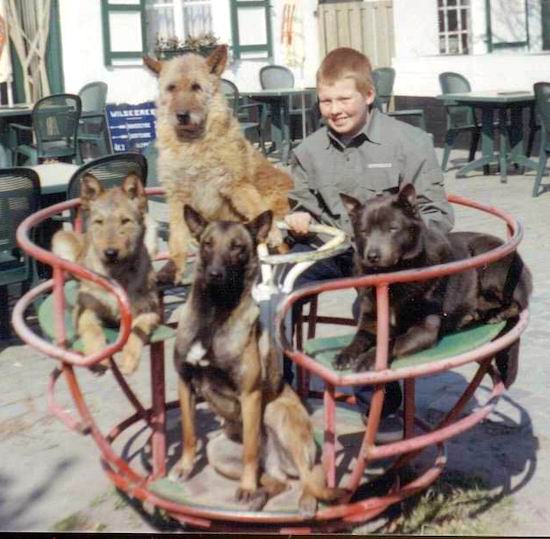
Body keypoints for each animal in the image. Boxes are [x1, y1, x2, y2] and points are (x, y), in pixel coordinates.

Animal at [52, 174, 161, 376]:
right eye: (99, 222)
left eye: (125, 221)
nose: (110, 253)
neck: (116, 275)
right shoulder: (85, 309)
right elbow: (92, 330)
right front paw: (99, 358)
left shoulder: (151, 312)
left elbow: (136, 331)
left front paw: (128, 360)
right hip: (61, 238)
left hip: (152, 225)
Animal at [144, 45, 296, 286]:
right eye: (171, 88)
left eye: (196, 86)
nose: (182, 115)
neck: (193, 145)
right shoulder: (178, 198)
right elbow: (176, 239)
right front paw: (173, 268)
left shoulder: (237, 186)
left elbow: (258, 208)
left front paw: (272, 231)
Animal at [172, 206, 344, 516]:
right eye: (207, 244)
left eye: (238, 247)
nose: (215, 274)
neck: (213, 316)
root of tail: (277, 463)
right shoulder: (185, 383)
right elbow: (189, 432)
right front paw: (185, 466)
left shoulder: (250, 396)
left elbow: (251, 450)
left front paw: (248, 486)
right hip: (218, 451)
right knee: (280, 482)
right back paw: (259, 497)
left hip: (277, 413)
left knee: (310, 475)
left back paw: (298, 499)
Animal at [334, 186, 532, 388]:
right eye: (364, 232)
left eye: (393, 228)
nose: (372, 256)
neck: (393, 277)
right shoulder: (371, 322)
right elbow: (359, 337)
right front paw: (345, 354)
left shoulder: (424, 329)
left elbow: (395, 340)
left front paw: (368, 359)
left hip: (487, 262)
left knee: (516, 303)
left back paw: (494, 314)